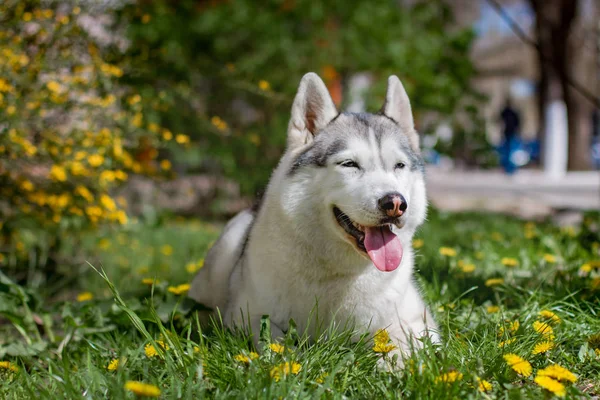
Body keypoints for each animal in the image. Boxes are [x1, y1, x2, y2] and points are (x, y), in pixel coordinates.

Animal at [190, 73, 438, 354]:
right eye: (349, 164)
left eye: (399, 165)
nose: (395, 203)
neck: (338, 273)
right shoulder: (243, 316)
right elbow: (276, 342)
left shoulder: (418, 320)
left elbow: (399, 344)